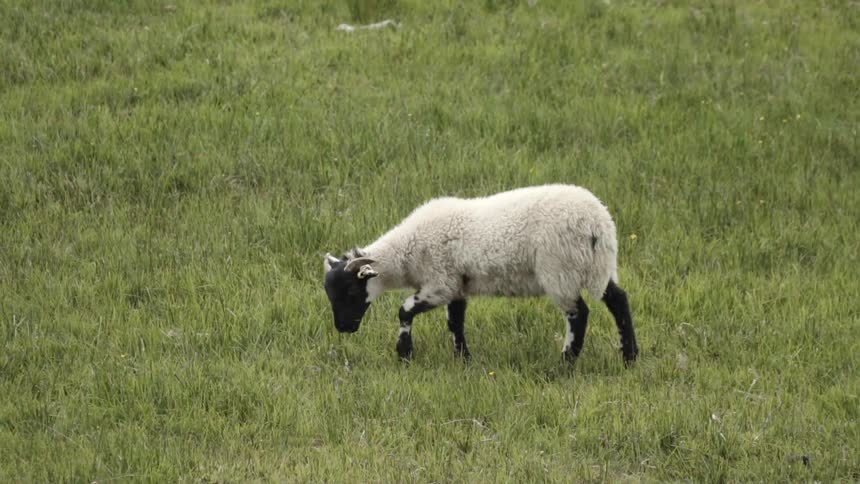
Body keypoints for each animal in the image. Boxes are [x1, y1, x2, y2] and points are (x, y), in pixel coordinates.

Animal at [323, 184, 639, 364]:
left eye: (350, 292)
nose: (343, 328)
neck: (407, 251)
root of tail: (597, 224)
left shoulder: (440, 283)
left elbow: (405, 311)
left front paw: (404, 353)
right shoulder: (456, 285)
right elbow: (455, 322)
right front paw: (463, 359)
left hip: (561, 269)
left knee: (578, 314)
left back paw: (566, 361)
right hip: (598, 265)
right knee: (618, 300)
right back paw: (629, 356)